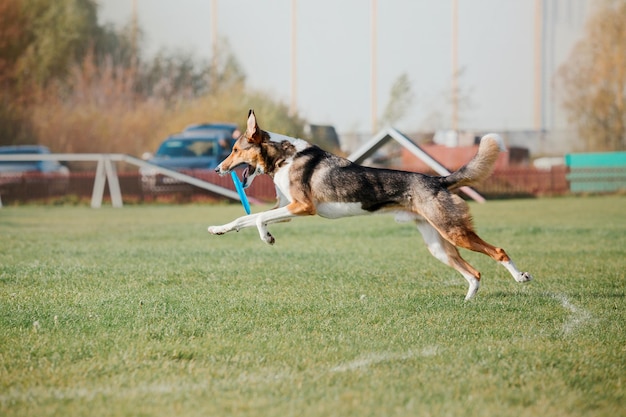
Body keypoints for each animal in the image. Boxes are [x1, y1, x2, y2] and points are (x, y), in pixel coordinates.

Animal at [207, 109, 528, 300]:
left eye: (234, 150)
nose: (217, 170)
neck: (284, 158)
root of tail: (439, 180)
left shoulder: (302, 208)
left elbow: (258, 219)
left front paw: (268, 238)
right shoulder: (286, 210)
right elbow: (243, 220)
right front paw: (217, 229)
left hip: (454, 231)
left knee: (498, 252)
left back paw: (521, 276)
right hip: (438, 245)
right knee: (474, 273)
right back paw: (468, 302)